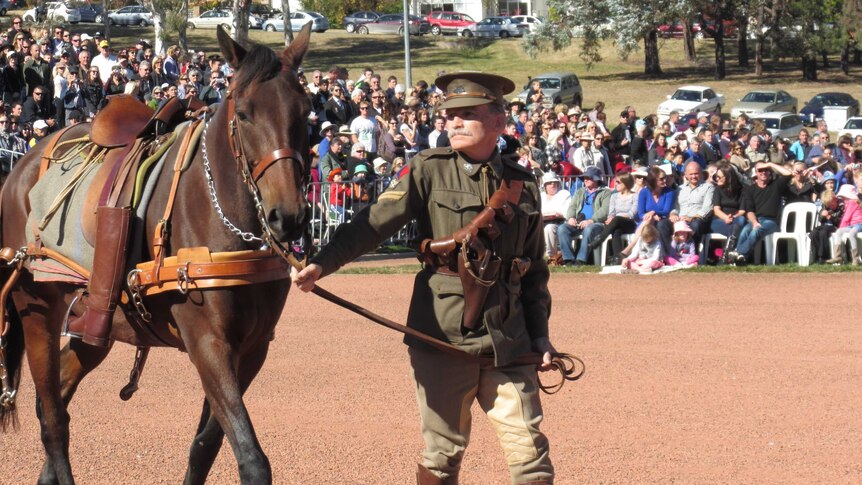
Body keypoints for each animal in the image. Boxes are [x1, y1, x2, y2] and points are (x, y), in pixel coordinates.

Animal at [0, 24, 312, 482]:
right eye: (244, 114)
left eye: (304, 113)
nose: (287, 216)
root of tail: (22, 166)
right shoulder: (208, 341)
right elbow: (252, 458)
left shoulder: (253, 347)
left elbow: (206, 445)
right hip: (37, 310)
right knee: (52, 419)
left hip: (95, 322)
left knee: (58, 396)